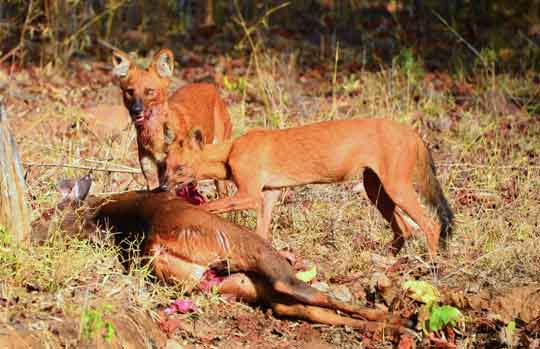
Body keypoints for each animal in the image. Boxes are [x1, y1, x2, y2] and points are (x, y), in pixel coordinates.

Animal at [31, 175, 408, 334]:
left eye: (47, 214)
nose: (30, 234)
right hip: (256, 289)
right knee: (302, 308)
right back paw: (391, 326)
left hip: (270, 268)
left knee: (318, 297)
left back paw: (397, 320)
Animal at [112, 47, 232, 190]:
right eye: (130, 92)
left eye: (149, 91)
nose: (136, 110)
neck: (154, 137)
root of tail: (209, 85)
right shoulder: (151, 173)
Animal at [162, 118, 454, 254]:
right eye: (164, 165)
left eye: (181, 169)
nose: (162, 187)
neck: (232, 150)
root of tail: (413, 132)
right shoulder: (269, 195)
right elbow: (262, 233)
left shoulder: (250, 194)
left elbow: (210, 206)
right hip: (377, 190)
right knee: (405, 229)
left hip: (396, 188)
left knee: (431, 225)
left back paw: (427, 267)